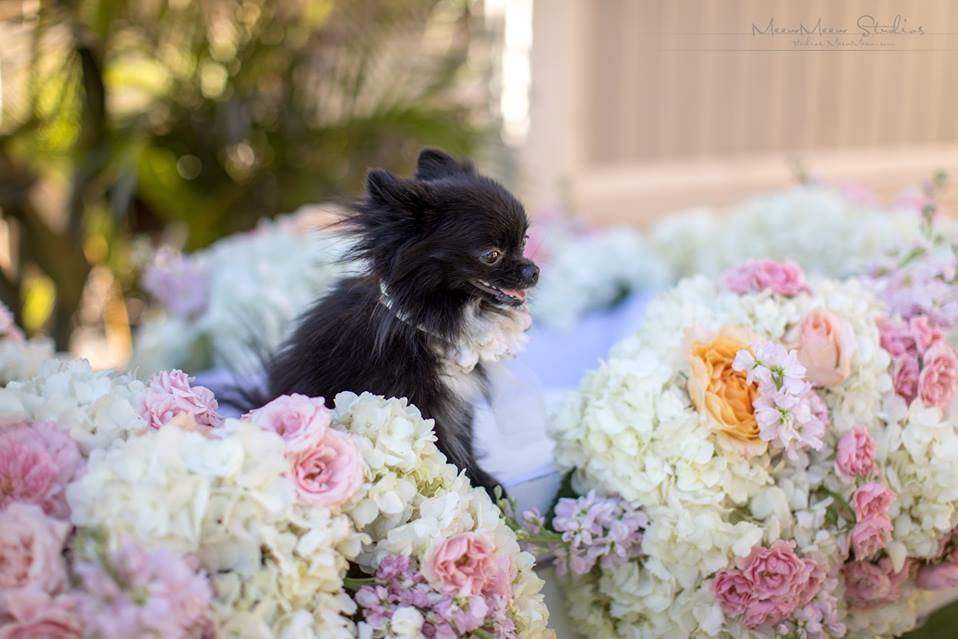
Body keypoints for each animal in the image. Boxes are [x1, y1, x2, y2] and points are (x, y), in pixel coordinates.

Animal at [268, 150, 540, 496]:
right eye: (491, 255)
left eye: (524, 241)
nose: (533, 270)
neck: (426, 326)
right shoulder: (416, 403)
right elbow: (441, 451)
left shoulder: (457, 407)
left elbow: (462, 442)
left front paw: (483, 484)